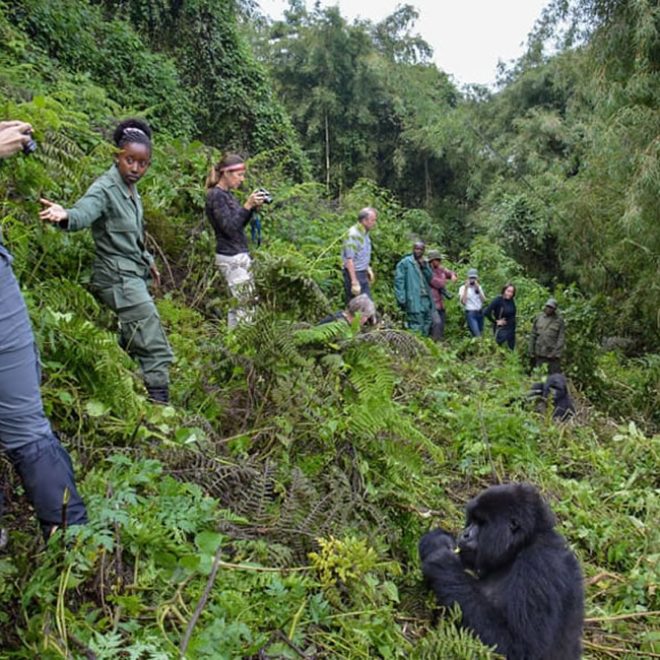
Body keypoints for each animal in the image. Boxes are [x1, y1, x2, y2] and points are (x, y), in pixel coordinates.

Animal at [418, 482, 584, 656]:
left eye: (481, 523)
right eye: (472, 520)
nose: (465, 534)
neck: (519, 547)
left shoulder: (540, 564)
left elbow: (522, 648)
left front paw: (444, 564)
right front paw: (437, 541)